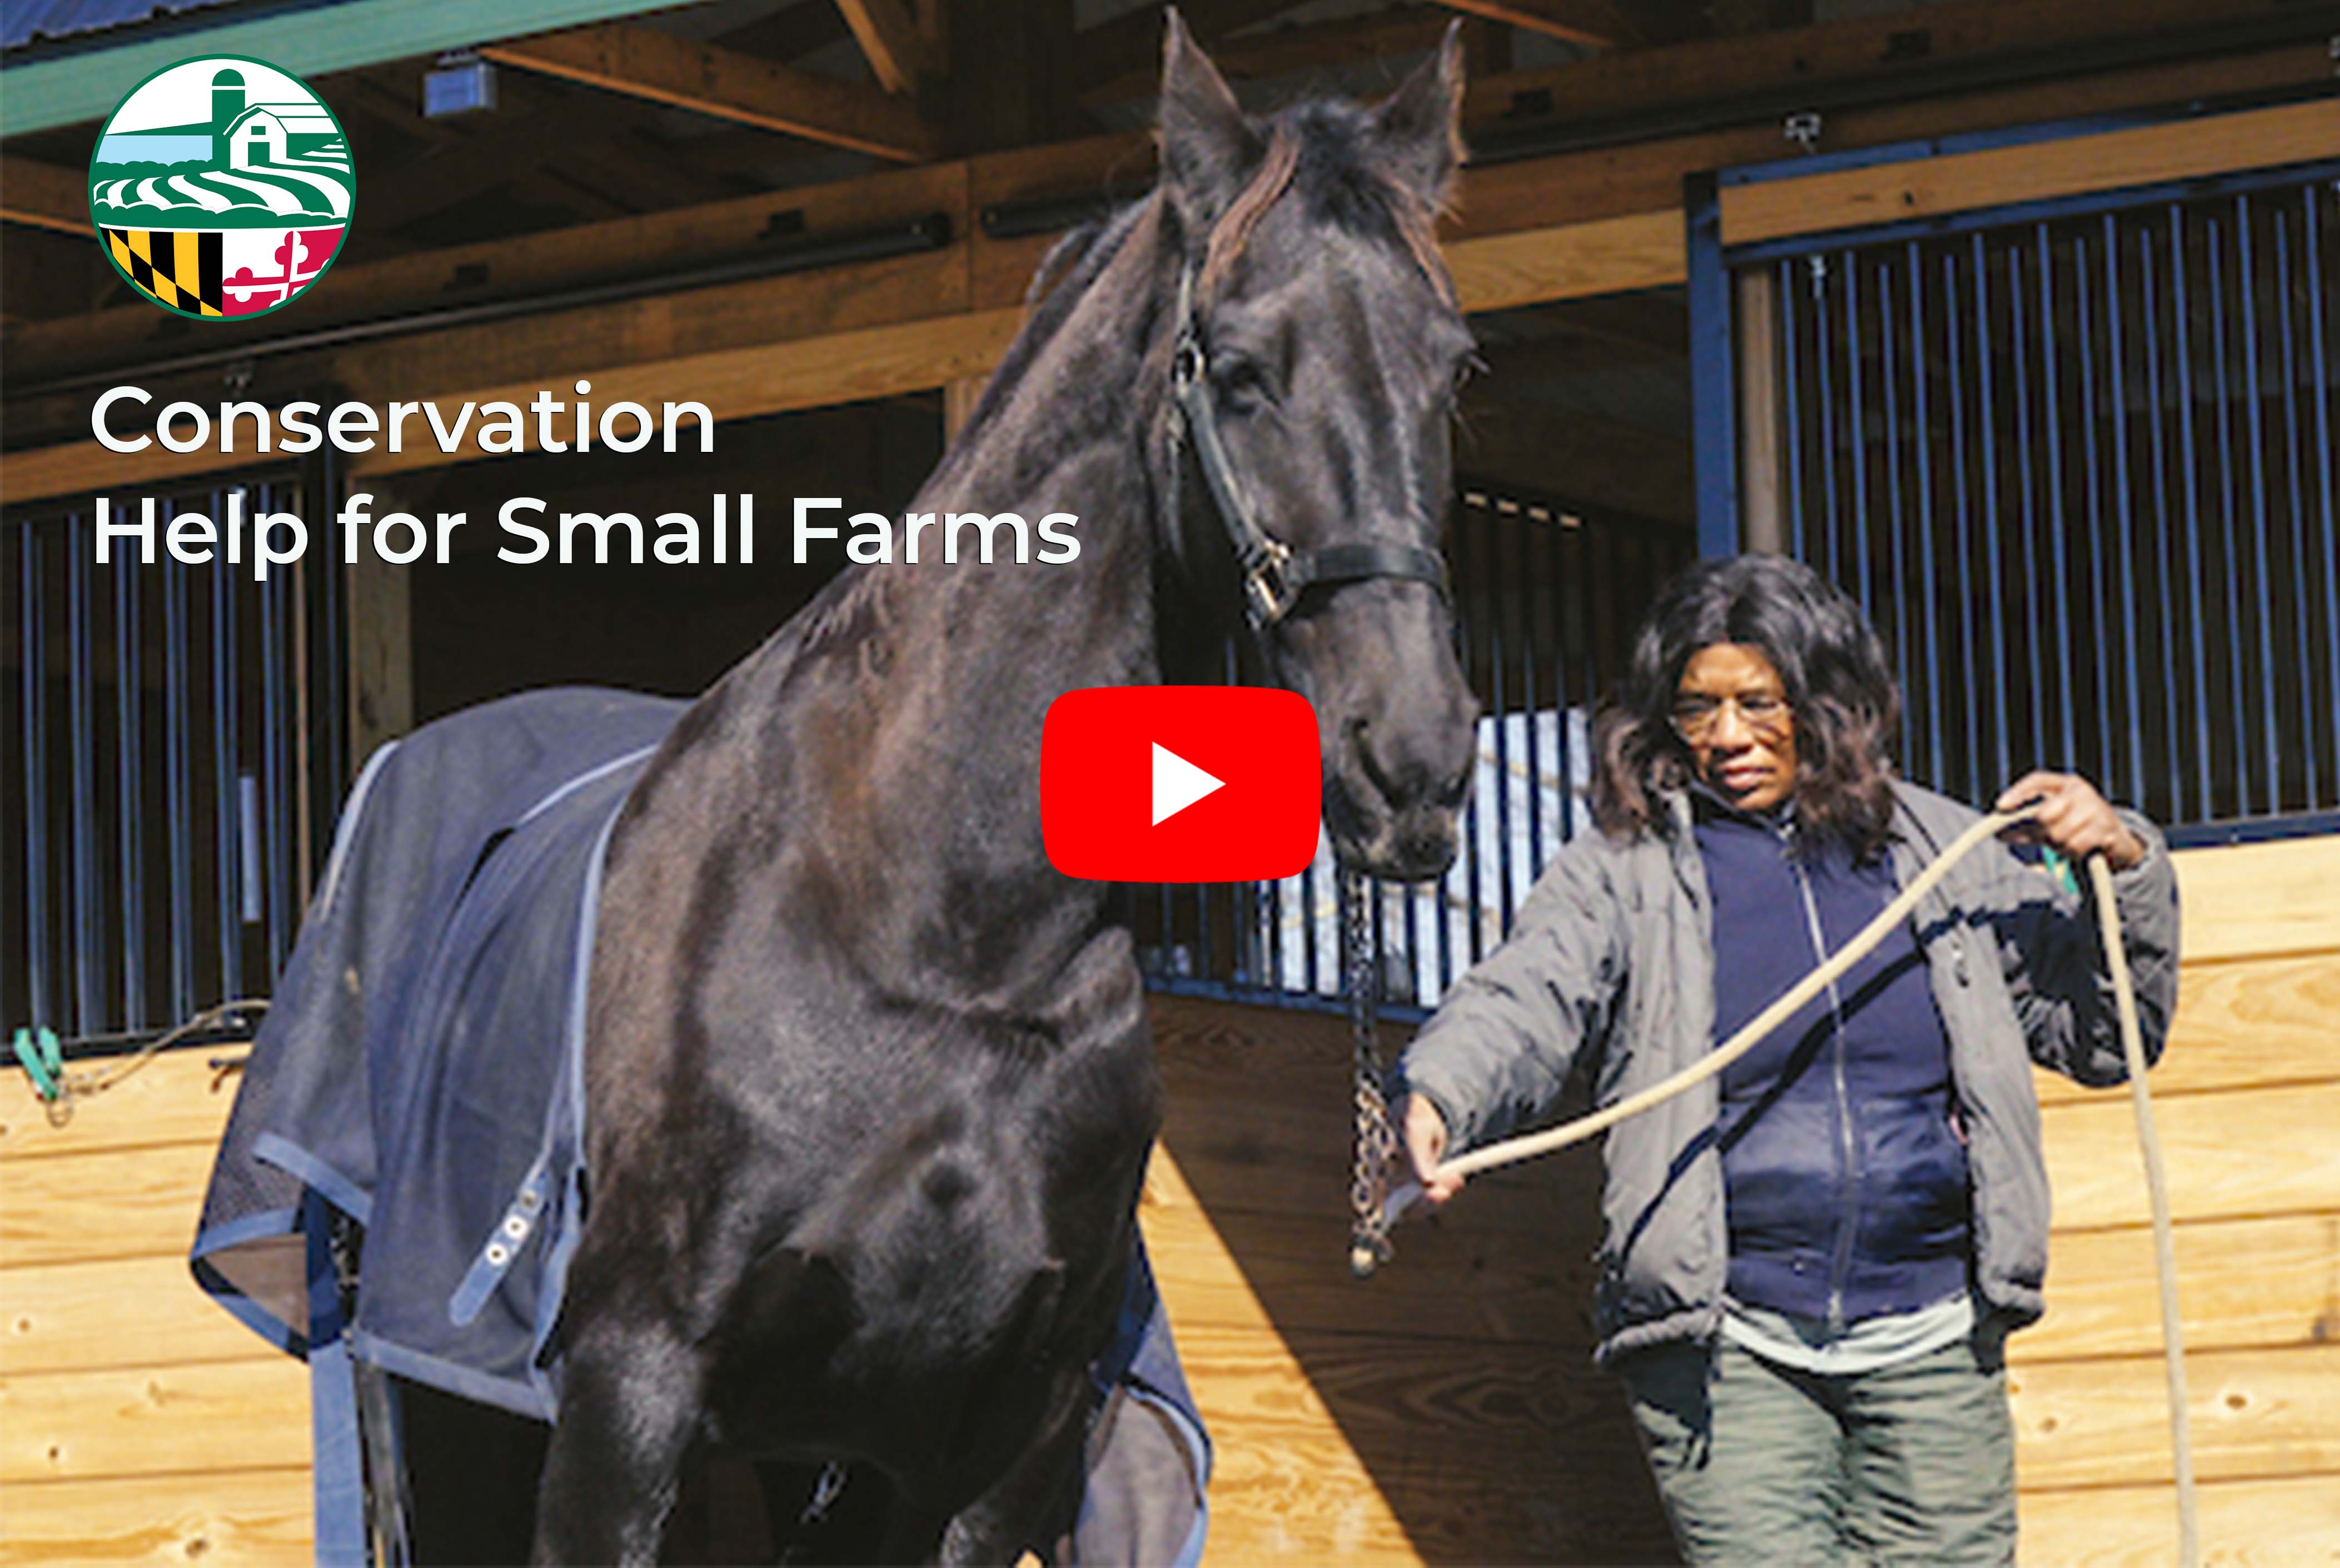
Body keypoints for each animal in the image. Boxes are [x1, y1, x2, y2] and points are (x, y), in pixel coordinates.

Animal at [538, 18, 1469, 1563]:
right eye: (1238, 369)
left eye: (1453, 368)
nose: (1415, 758)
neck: (926, 934)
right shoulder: (626, 1395)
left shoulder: (989, 1435)